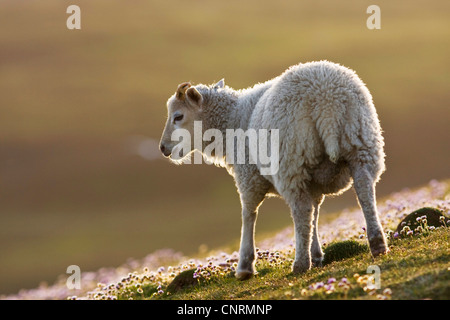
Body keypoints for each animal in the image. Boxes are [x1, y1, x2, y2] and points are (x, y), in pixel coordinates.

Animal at [160, 60, 388, 280]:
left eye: (178, 116)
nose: (162, 148)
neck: (232, 120)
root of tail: (326, 101)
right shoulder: (313, 181)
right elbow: (316, 212)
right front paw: (316, 254)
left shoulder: (248, 176)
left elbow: (248, 214)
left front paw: (245, 266)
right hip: (360, 143)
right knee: (364, 191)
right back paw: (377, 243)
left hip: (291, 160)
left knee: (301, 210)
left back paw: (300, 264)